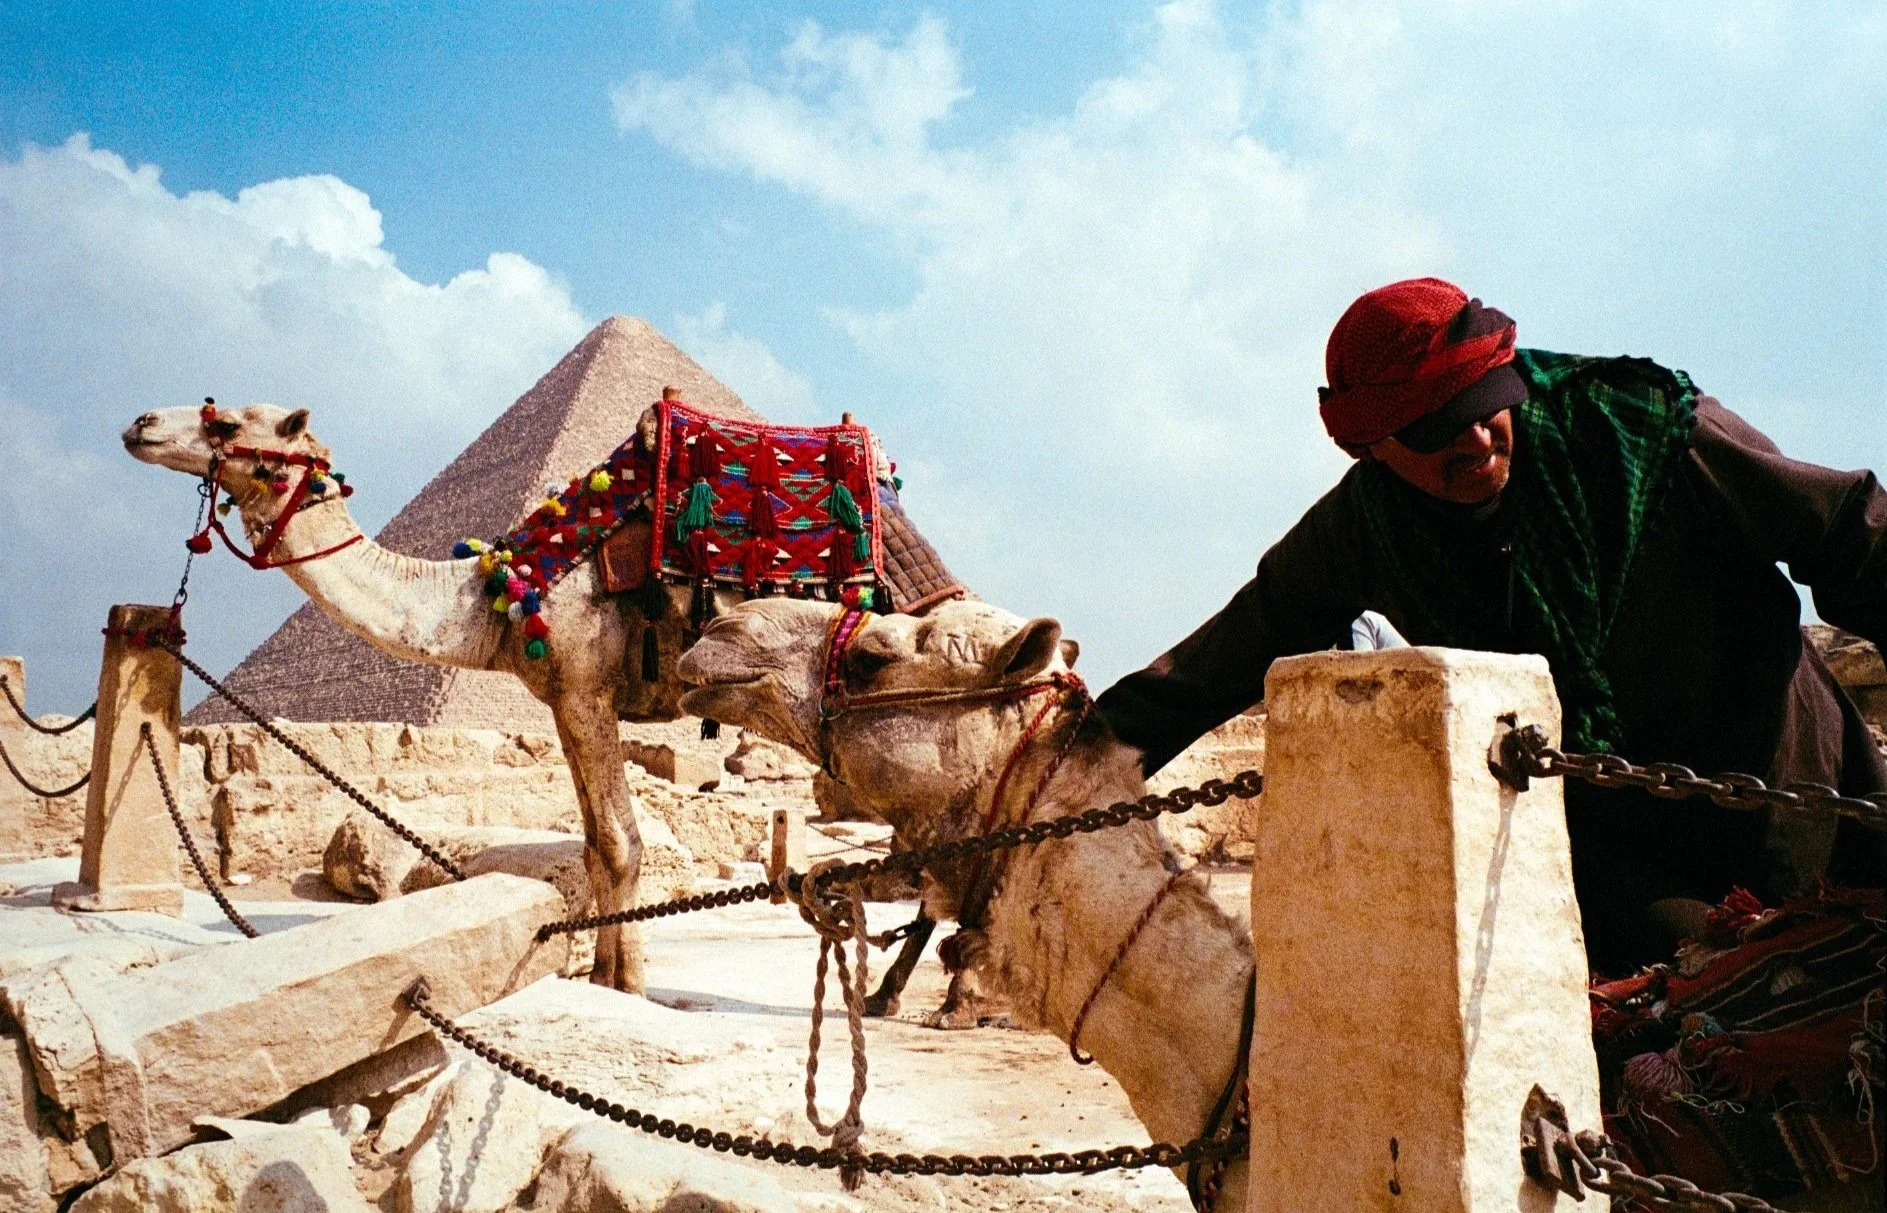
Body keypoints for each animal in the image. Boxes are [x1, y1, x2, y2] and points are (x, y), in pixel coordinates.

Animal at [123, 402, 745, 993]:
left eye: (226, 423)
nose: (140, 423)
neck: (502, 592)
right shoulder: (564, 700)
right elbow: (592, 845)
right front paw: (599, 977)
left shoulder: (587, 688)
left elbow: (619, 844)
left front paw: (629, 985)